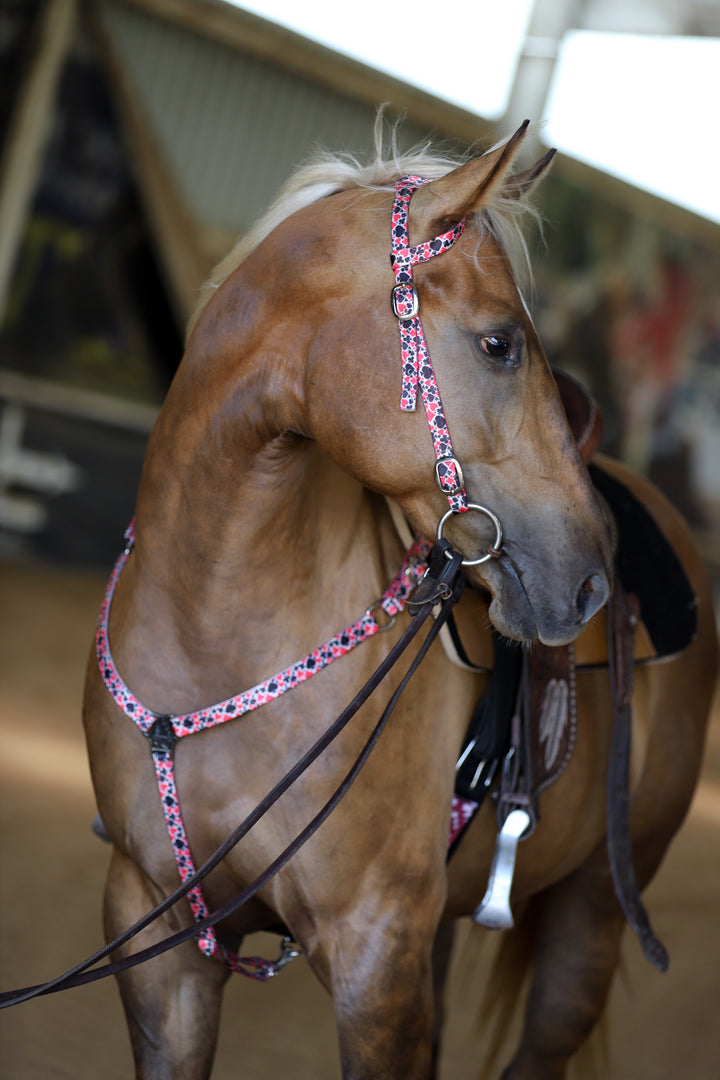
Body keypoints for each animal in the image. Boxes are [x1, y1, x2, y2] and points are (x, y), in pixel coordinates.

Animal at [82, 120, 718, 1079]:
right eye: (499, 343)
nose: (589, 578)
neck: (213, 643)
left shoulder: (376, 962)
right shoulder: (157, 936)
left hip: (595, 912)